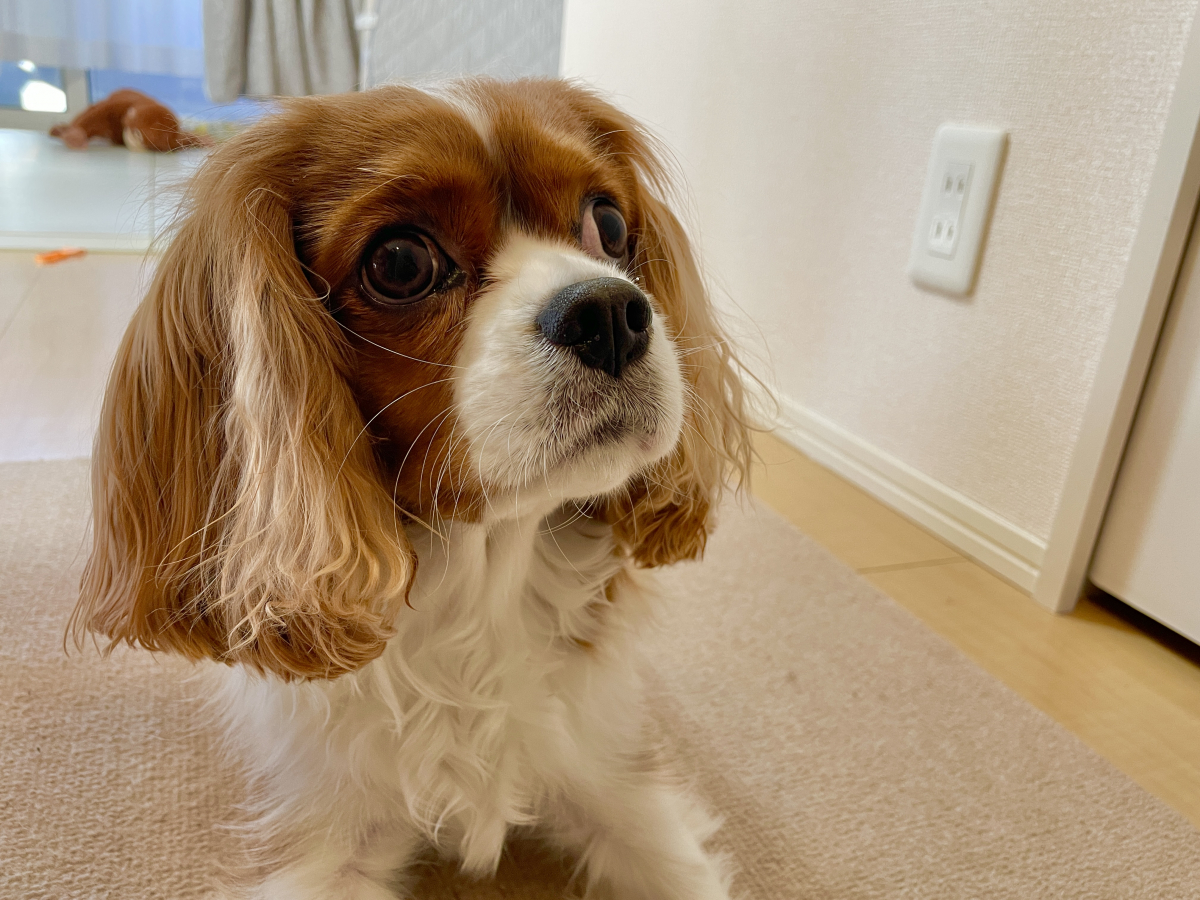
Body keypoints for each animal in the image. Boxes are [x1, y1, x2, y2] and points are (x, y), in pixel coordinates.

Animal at [69, 78, 750, 899]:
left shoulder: (622, 785)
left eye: (611, 223)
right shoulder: (319, 846)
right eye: (399, 261)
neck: (484, 580)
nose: (610, 311)